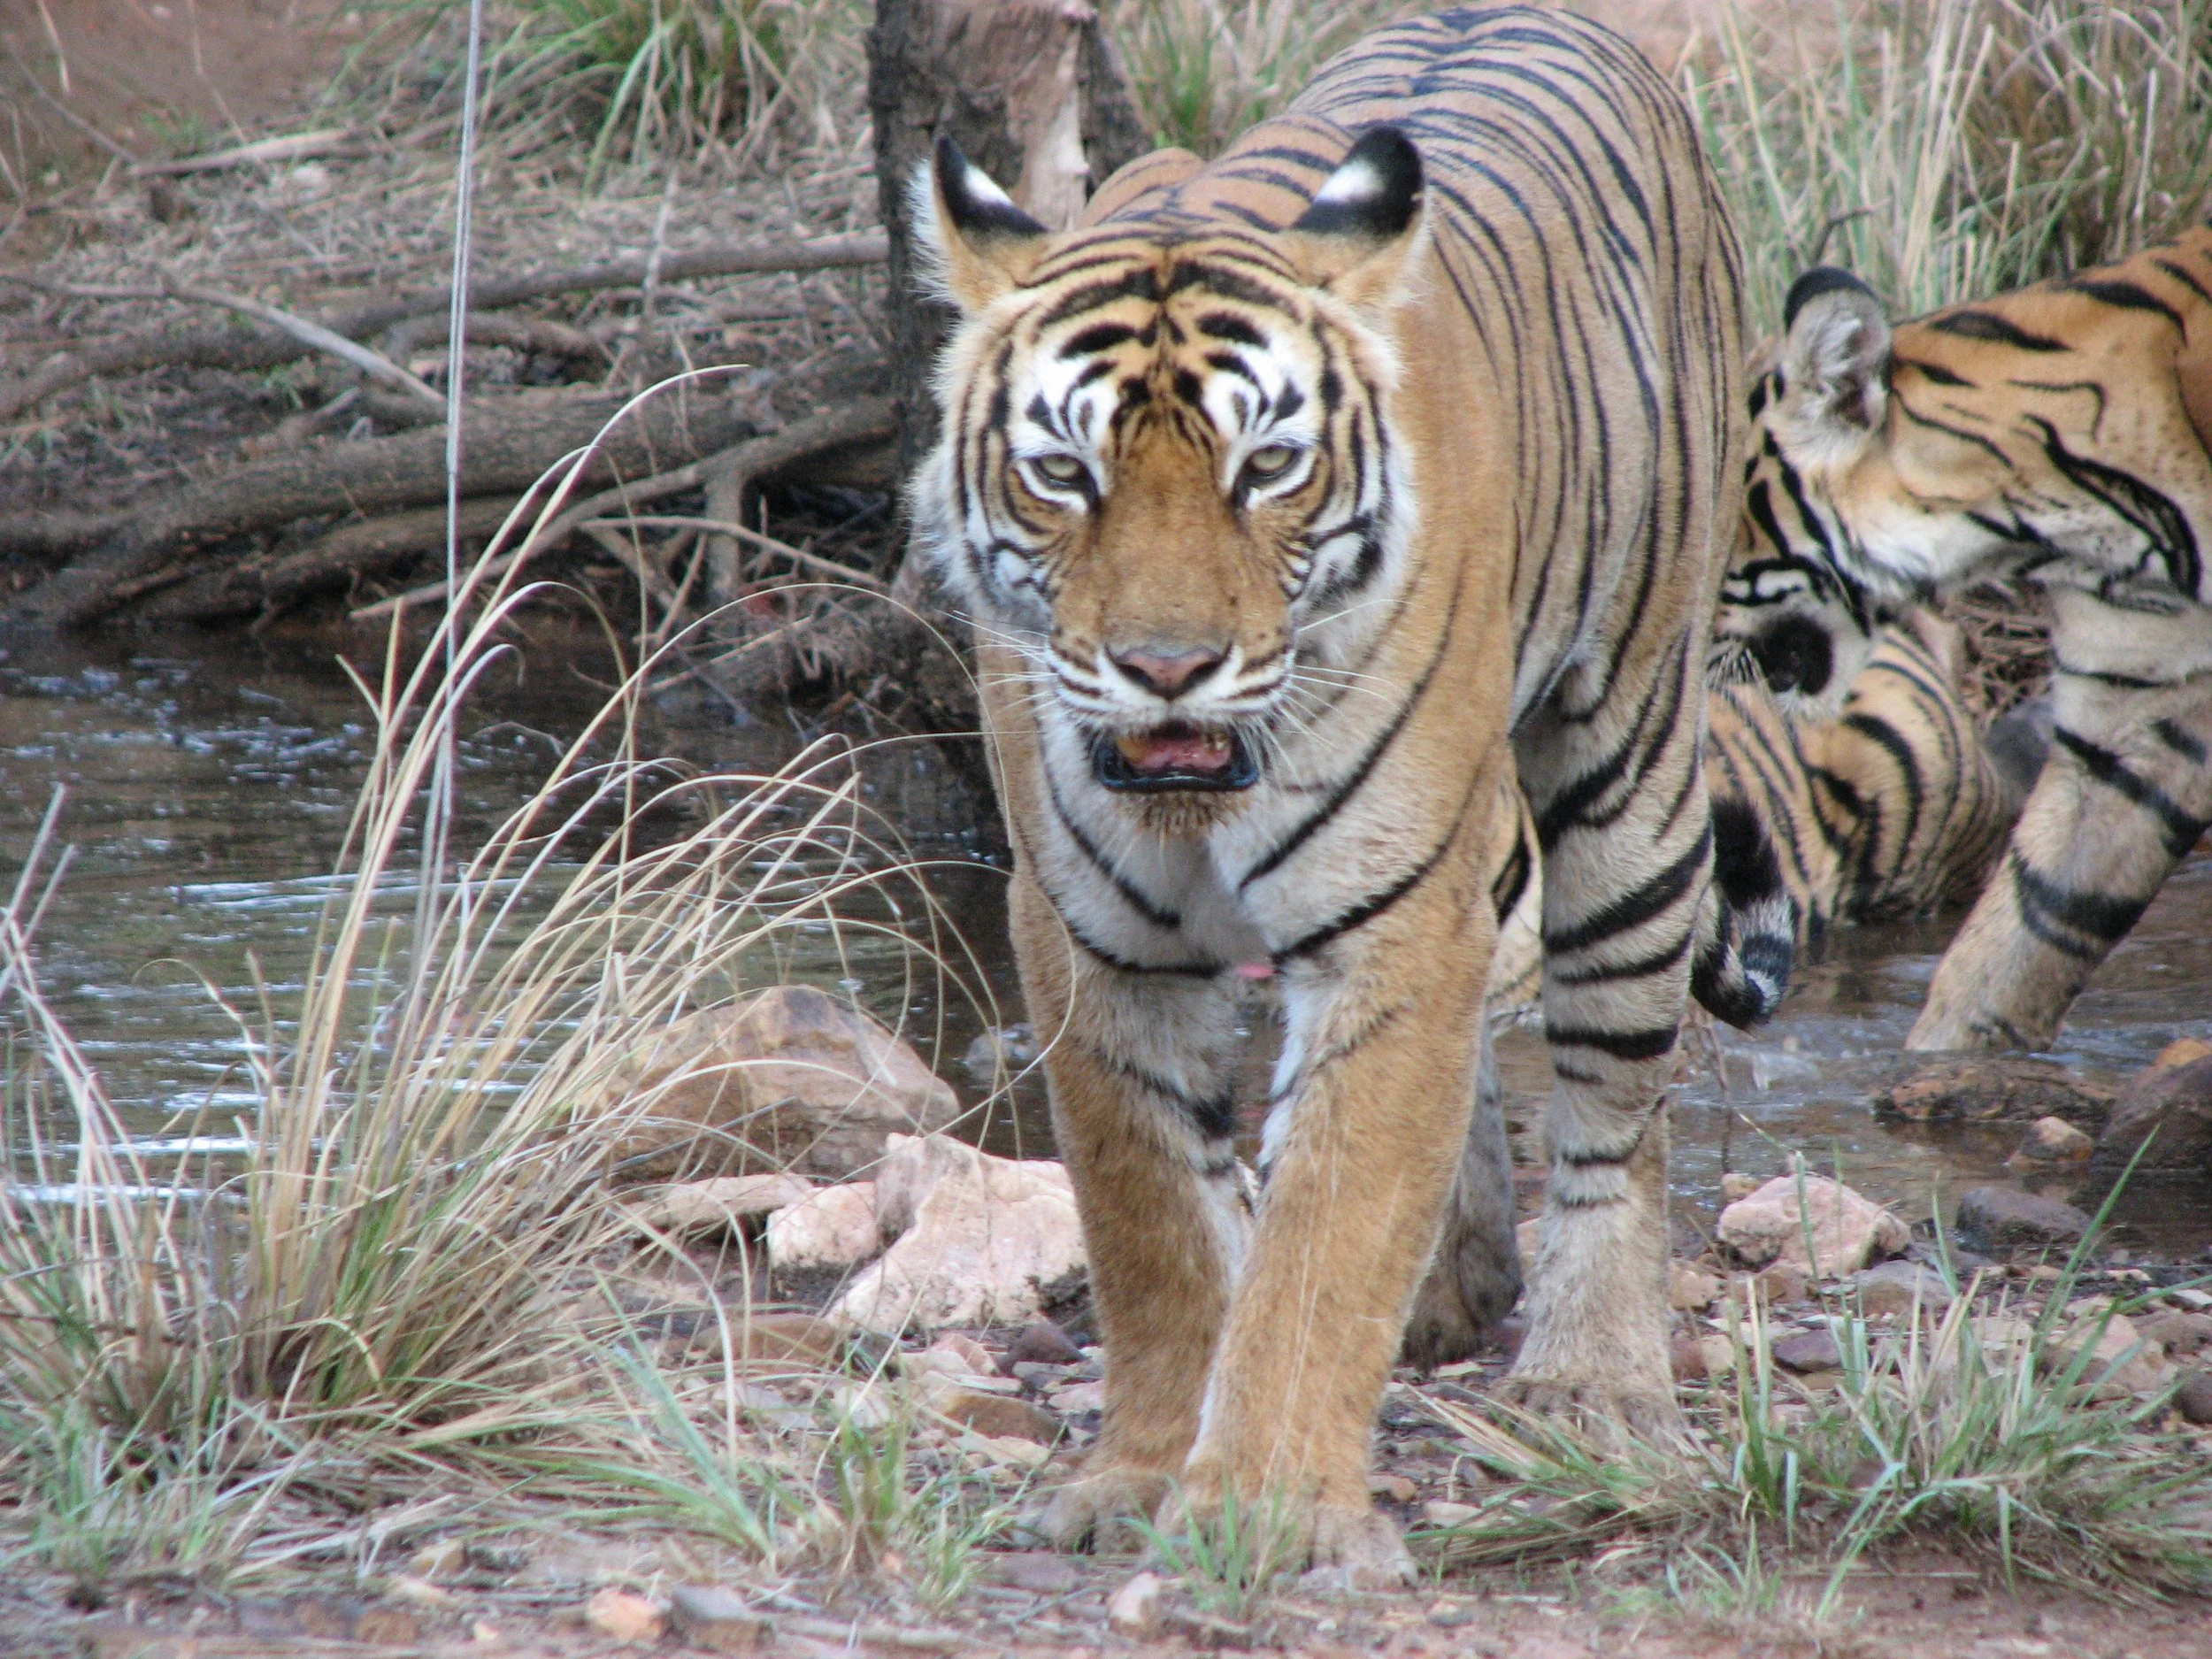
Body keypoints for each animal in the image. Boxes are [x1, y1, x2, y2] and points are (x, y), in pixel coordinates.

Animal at [910, 7, 1767, 1582]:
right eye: (1064, 473)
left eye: (1268, 468)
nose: (1166, 668)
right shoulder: (1087, 933)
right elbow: (1154, 1221)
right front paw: (1137, 1474)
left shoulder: (1393, 917)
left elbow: (1326, 1225)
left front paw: (1264, 1504)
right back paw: (1455, 1291)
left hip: (1632, 754)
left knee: (1614, 1097)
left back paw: (1596, 1385)